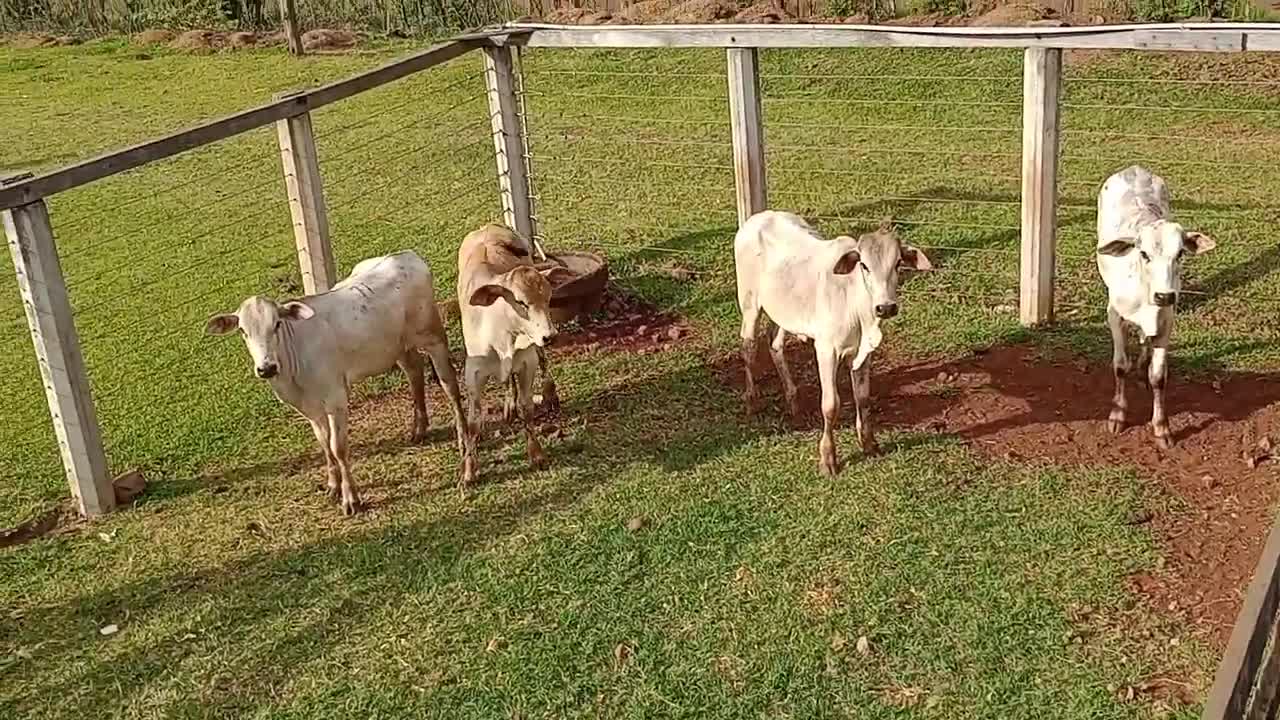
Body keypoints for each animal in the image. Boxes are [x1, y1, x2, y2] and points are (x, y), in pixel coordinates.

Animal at [204, 249, 471, 512]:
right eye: (243, 331)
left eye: (277, 324)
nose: (267, 368)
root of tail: (404, 254)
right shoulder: (309, 408)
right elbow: (324, 443)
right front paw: (333, 485)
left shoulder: (335, 398)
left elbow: (337, 447)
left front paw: (350, 498)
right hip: (398, 347)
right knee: (414, 371)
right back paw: (419, 429)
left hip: (433, 336)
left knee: (449, 383)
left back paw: (462, 439)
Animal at [455, 222, 576, 486]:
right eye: (521, 302)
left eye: (549, 298)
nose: (550, 335)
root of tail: (488, 227)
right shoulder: (473, 373)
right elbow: (473, 422)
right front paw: (469, 470)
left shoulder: (526, 363)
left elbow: (527, 408)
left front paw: (537, 454)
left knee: (542, 362)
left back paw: (548, 394)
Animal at [737, 210, 936, 474]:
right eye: (864, 265)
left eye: (898, 263)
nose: (885, 307)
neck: (856, 304)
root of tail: (759, 217)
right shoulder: (826, 350)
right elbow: (831, 405)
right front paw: (828, 459)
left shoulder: (864, 354)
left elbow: (863, 398)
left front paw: (869, 443)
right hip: (750, 304)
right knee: (748, 348)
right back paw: (752, 401)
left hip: (784, 312)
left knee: (774, 344)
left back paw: (793, 401)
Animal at [1095, 165, 1213, 445]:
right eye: (1143, 253)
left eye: (1180, 253)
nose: (1164, 296)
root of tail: (1134, 168)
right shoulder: (1114, 317)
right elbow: (1120, 366)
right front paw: (1117, 415)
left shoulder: (1167, 321)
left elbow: (1159, 376)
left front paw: (1162, 427)